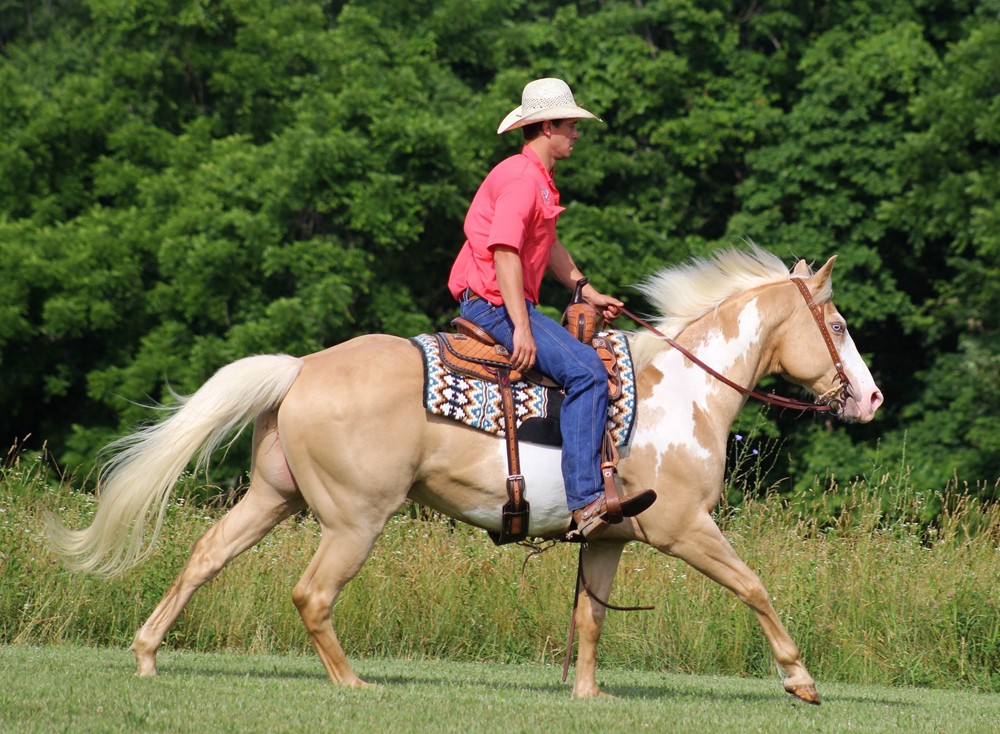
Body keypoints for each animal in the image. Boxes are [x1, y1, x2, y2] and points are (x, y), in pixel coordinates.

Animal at [48, 245, 883, 703]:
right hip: (354, 519)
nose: (871, 399)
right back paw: (353, 685)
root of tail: (302, 367)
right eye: (839, 325)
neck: (681, 391)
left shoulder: (609, 537)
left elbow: (590, 617)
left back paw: (147, 653)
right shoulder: (684, 528)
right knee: (311, 594)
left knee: (205, 557)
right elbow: (754, 587)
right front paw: (800, 680)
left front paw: (588, 693)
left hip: (273, 498)